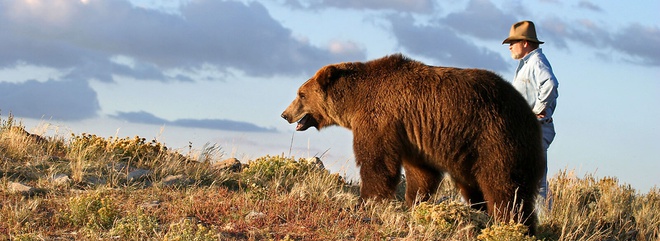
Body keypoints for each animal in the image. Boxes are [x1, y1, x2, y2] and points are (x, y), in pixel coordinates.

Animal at [282, 53, 544, 234]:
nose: (285, 114)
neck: (353, 101)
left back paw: (512, 225)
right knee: (477, 188)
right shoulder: (413, 136)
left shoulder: (379, 118)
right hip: (471, 151)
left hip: (494, 138)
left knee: (504, 187)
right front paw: (414, 203)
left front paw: (365, 202)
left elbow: (376, 163)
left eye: (301, 94)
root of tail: (529, 113)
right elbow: (421, 173)